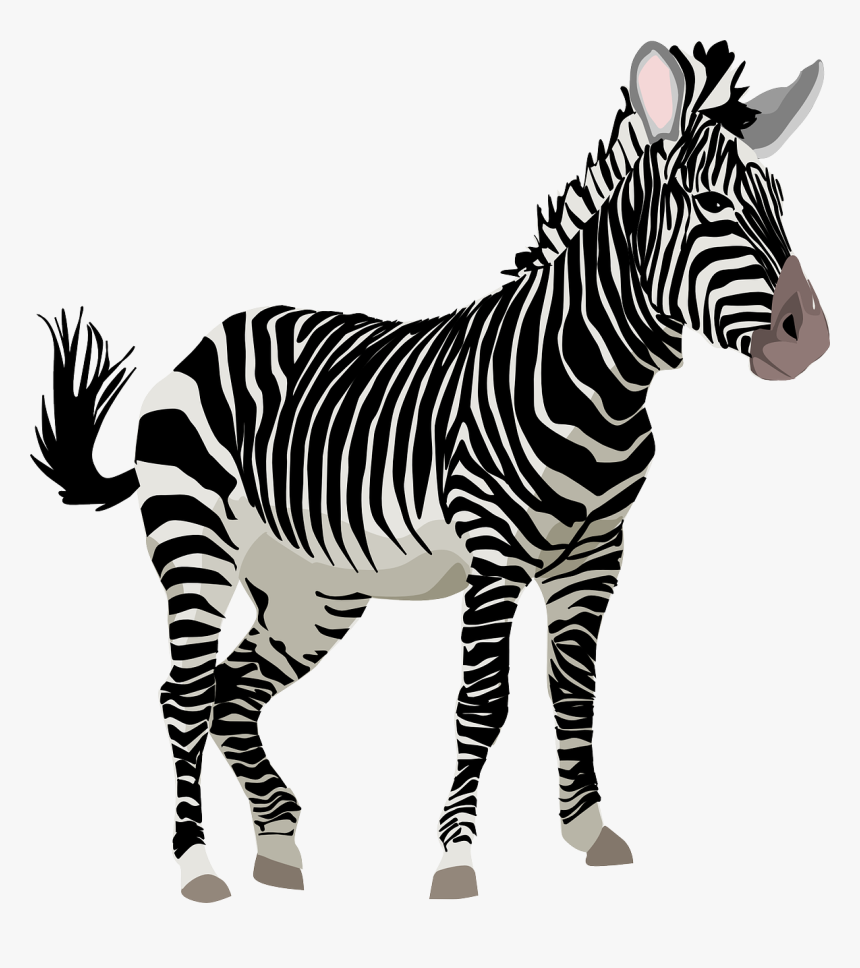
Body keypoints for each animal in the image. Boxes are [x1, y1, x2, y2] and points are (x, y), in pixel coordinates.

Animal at [33, 41, 829, 902]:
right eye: (710, 205)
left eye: (781, 202)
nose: (812, 338)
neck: (593, 382)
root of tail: (206, 340)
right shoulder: (495, 552)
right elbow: (483, 702)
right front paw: (456, 858)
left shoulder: (594, 557)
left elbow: (574, 689)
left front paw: (587, 828)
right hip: (195, 544)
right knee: (182, 695)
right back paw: (197, 865)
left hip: (313, 590)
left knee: (233, 690)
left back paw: (277, 842)